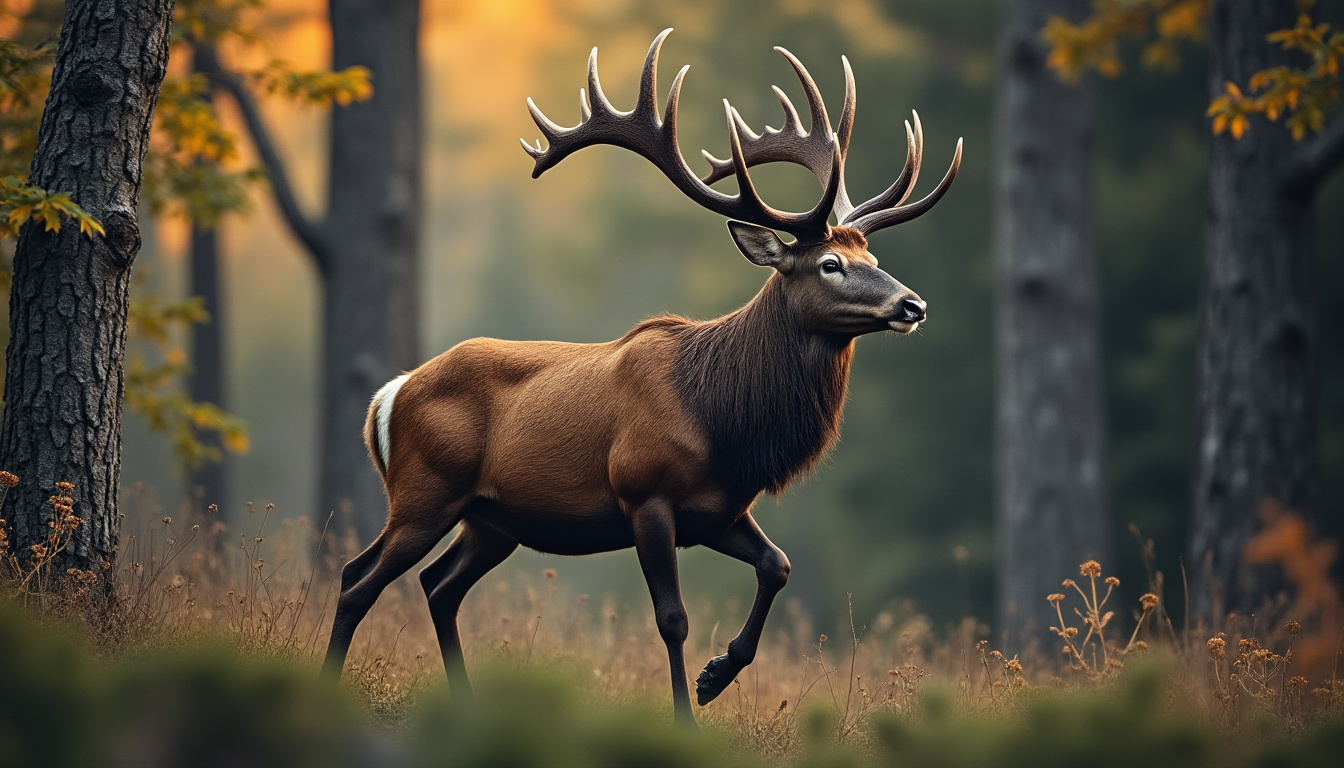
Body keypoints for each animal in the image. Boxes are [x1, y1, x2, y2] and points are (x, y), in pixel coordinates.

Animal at [321, 28, 961, 726]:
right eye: (830, 264)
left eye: (870, 254)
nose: (913, 305)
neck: (723, 420)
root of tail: (389, 395)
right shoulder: (643, 492)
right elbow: (672, 618)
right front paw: (687, 711)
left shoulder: (720, 509)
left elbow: (779, 565)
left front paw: (716, 676)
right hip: (424, 492)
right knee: (359, 578)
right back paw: (326, 681)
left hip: (491, 520)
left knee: (436, 586)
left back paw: (466, 703)